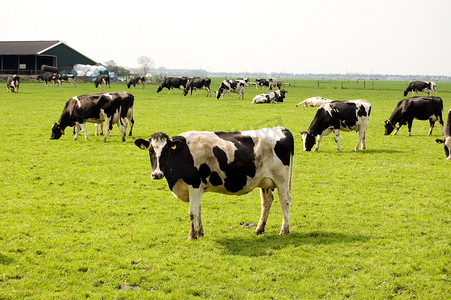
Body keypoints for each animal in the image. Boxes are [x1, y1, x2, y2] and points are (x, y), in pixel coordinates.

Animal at [136, 126, 294, 239]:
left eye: (166, 151)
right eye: (150, 151)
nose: (156, 174)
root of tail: (281, 129)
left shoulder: (194, 185)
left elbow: (192, 213)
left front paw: (192, 236)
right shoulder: (197, 188)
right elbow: (198, 211)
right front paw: (199, 233)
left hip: (281, 179)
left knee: (285, 200)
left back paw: (284, 230)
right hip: (265, 181)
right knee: (266, 202)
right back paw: (259, 229)